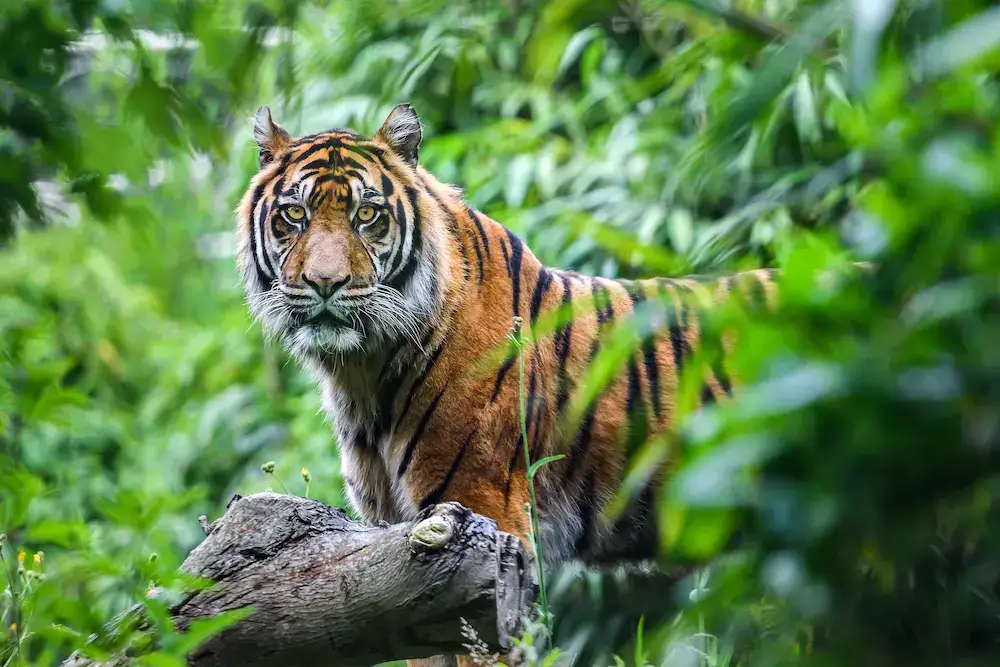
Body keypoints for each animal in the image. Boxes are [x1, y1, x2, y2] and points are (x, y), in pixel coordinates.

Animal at [236, 103, 780, 665]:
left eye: (367, 215)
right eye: (294, 215)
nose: (326, 283)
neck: (362, 370)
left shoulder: (480, 532)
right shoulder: (393, 560)